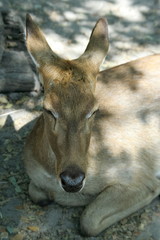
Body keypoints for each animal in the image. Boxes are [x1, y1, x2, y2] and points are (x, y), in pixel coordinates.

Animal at [23, 14, 160, 237]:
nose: (73, 180)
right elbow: (37, 193)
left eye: (94, 109)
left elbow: (88, 221)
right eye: (48, 109)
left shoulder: (138, 174)